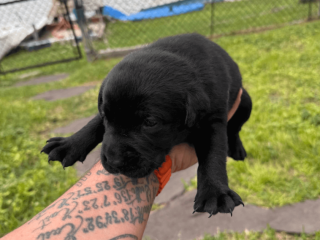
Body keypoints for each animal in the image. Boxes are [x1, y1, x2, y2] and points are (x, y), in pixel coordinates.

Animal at [42, 33, 252, 216]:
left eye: (150, 123)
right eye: (105, 116)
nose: (114, 161)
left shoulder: (212, 120)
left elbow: (213, 156)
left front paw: (215, 193)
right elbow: (93, 124)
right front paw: (69, 144)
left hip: (245, 100)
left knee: (235, 128)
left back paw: (237, 148)